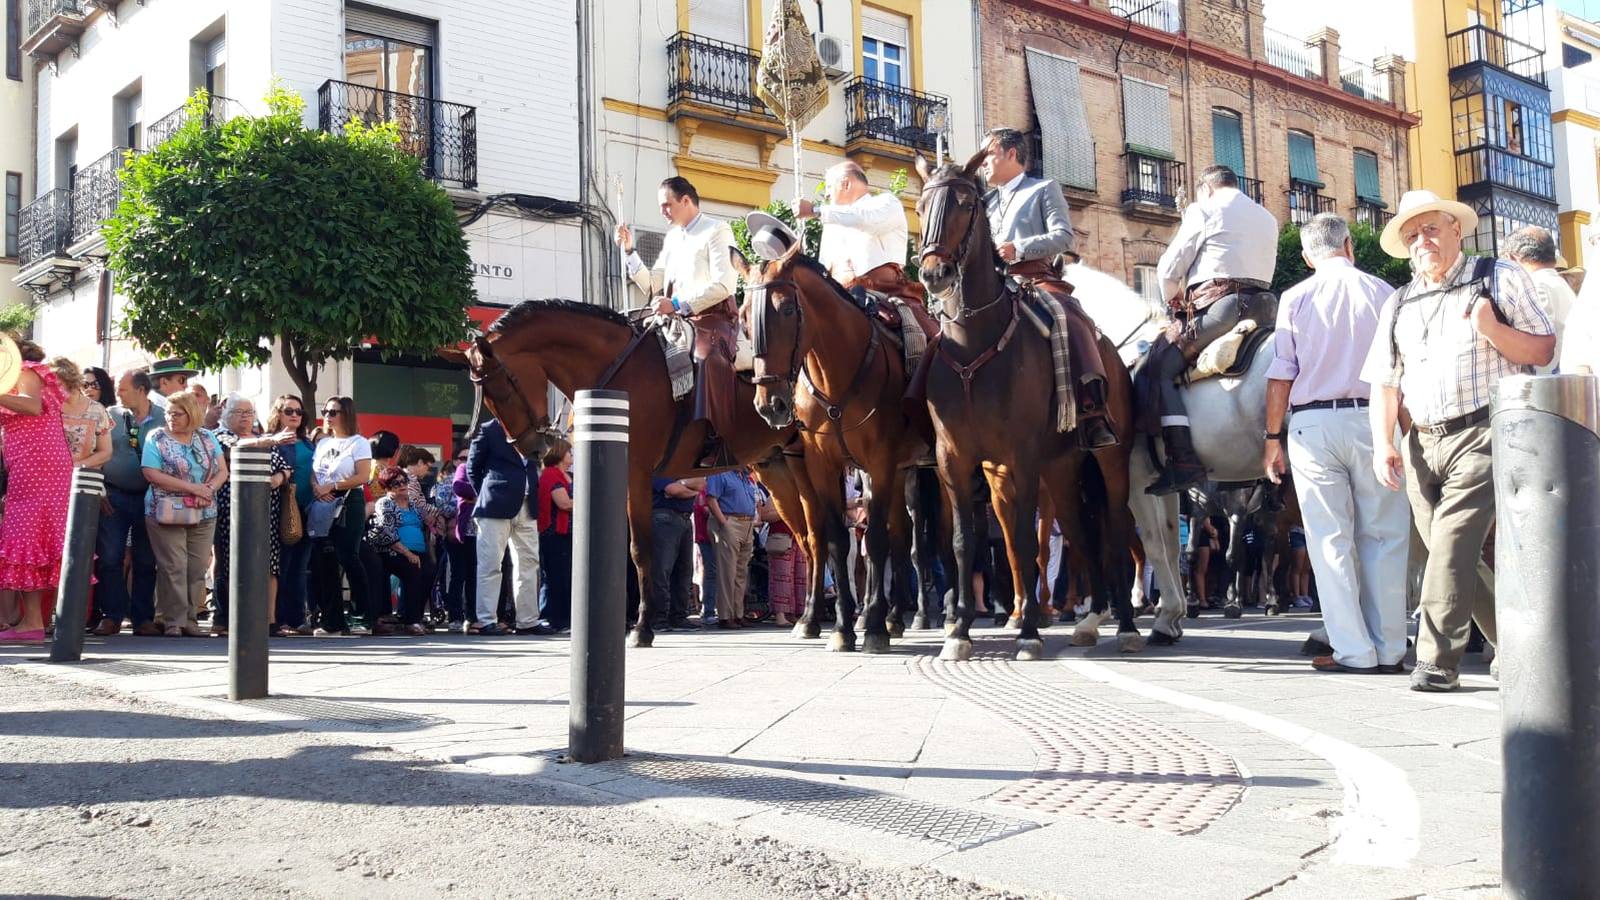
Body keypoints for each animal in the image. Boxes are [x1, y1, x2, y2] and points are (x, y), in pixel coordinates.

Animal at [464, 299, 812, 643]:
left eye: (502, 390)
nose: (531, 447)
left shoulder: (637, 472)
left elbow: (641, 549)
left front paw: (642, 628)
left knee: (814, 535)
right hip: (778, 468)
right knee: (808, 536)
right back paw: (809, 618)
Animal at [739, 245, 947, 650]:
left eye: (787, 309)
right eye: (743, 318)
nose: (771, 404)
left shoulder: (879, 463)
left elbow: (877, 540)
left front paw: (874, 629)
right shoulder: (823, 466)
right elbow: (836, 539)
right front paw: (842, 627)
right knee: (903, 537)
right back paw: (896, 615)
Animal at [908, 152, 1145, 659]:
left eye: (965, 203)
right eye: (920, 205)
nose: (935, 274)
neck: (974, 347)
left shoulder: (1021, 457)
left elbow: (1020, 539)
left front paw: (1030, 633)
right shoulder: (953, 460)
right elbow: (964, 542)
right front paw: (958, 632)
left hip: (1108, 459)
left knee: (1114, 529)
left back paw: (1126, 624)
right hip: (1062, 468)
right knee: (1080, 533)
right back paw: (1091, 619)